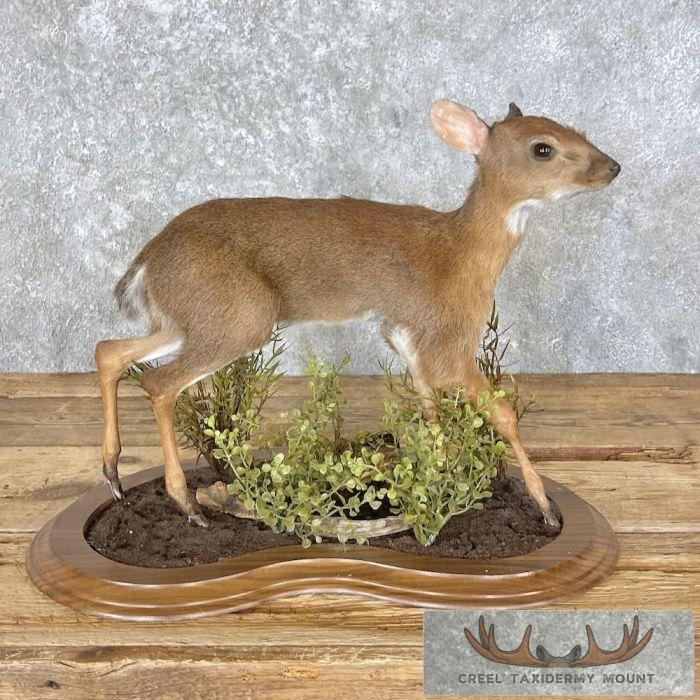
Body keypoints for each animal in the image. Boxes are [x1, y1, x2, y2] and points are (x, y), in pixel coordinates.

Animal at [95, 99, 620, 528]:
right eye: (543, 148)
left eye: (575, 128)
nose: (613, 166)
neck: (462, 254)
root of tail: (148, 259)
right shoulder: (449, 340)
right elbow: (505, 414)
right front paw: (545, 506)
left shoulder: (404, 335)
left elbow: (430, 411)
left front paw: (440, 480)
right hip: (238, 317)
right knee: (158, 383)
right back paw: (185, 504)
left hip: (185, 320)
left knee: (110, 351)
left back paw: (114, 475)